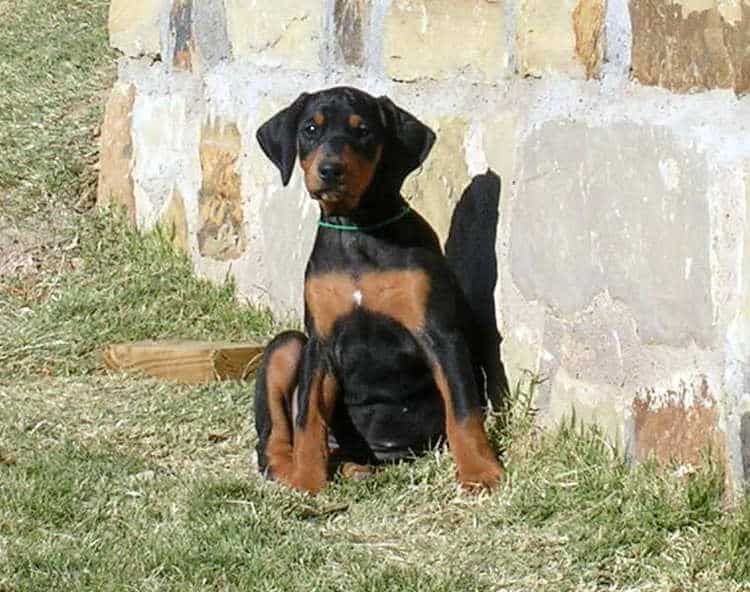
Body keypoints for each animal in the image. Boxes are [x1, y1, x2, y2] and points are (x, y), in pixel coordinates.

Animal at [253, 86, 506, 494]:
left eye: (364, 132)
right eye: (310, 129)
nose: (330, 170)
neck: (358, 228)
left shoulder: (441, 334)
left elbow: (463, 410)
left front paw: (480, 472)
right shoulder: (320, 342)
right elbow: (308, 417)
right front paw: (308, 481)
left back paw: (353, 467)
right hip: (288, 346)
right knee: (273, 436)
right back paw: (291, 472)